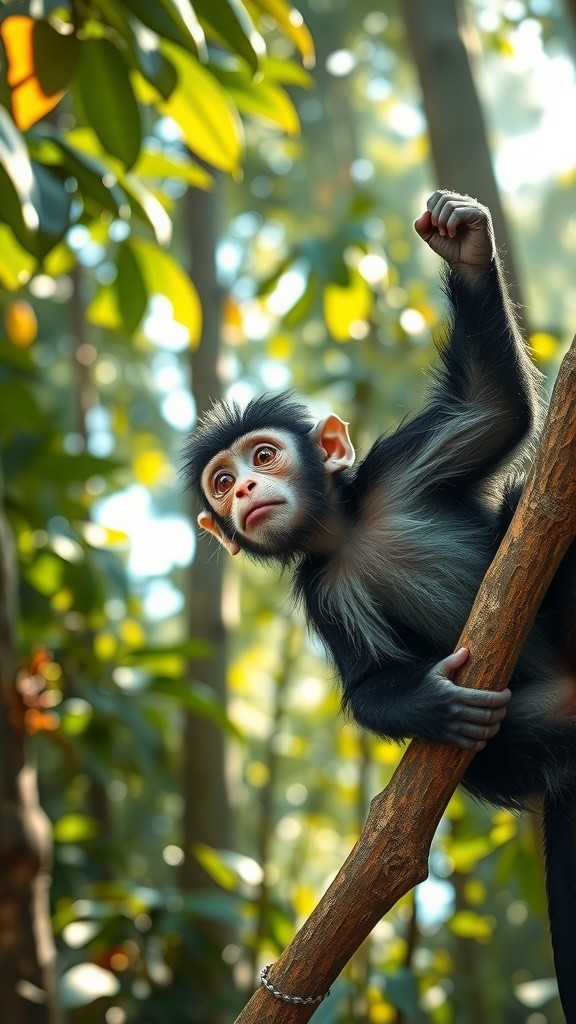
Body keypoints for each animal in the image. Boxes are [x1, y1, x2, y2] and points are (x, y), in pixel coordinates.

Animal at [183, 191, 576, 1021]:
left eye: (263, 456)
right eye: (222, 484)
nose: (249, 490)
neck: (347, 530)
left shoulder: (399, 467)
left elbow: (495, 408)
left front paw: (464, 241)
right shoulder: (323, 588)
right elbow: (368, 685)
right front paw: (427, 701)